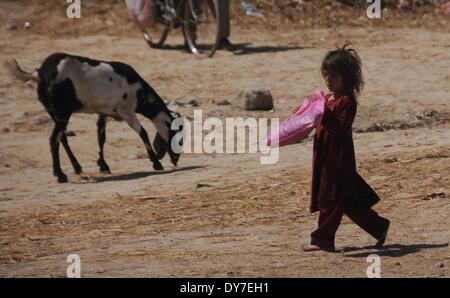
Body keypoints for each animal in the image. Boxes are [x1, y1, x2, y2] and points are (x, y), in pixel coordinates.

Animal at [4, 54, 184, 184]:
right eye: (180, 139)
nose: (175, 160)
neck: (139, 91)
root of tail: (40, 73)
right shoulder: (126, 111)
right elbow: (143, 133)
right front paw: (156, 163)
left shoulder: (103, 112)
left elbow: (101, 137)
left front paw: (103, 165)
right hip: (62, 112)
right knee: (54, 139)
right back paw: (60, 175)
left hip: (55, 113)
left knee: (62, 137)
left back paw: (76, 167)